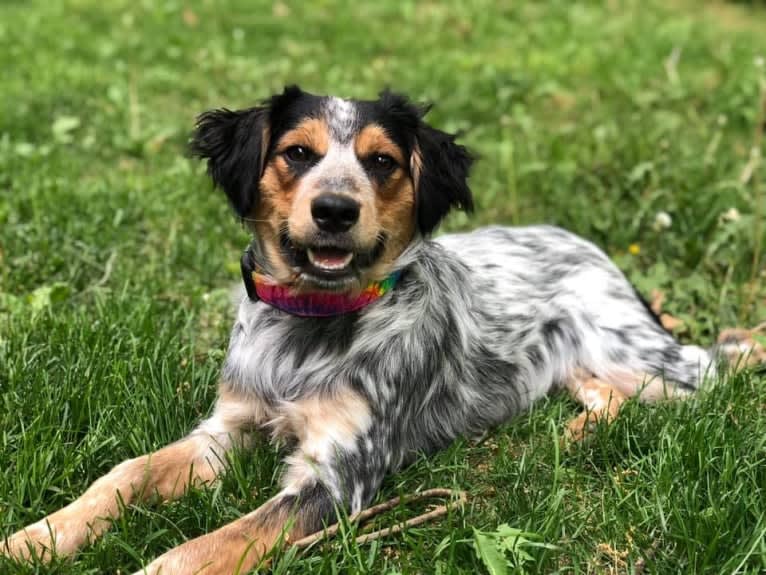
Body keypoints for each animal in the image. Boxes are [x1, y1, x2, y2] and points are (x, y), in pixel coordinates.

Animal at [3, 86, 764, 575]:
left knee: (701, 378)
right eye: (297, 153)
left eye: (381, 162)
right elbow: (123, 475)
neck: (309, 328)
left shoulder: (336, 477)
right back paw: (572, 433)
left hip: (627, 348)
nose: (336, 210)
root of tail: (588, 244)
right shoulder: (225, 429)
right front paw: (37, 538)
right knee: (612, 398)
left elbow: (206, 547)